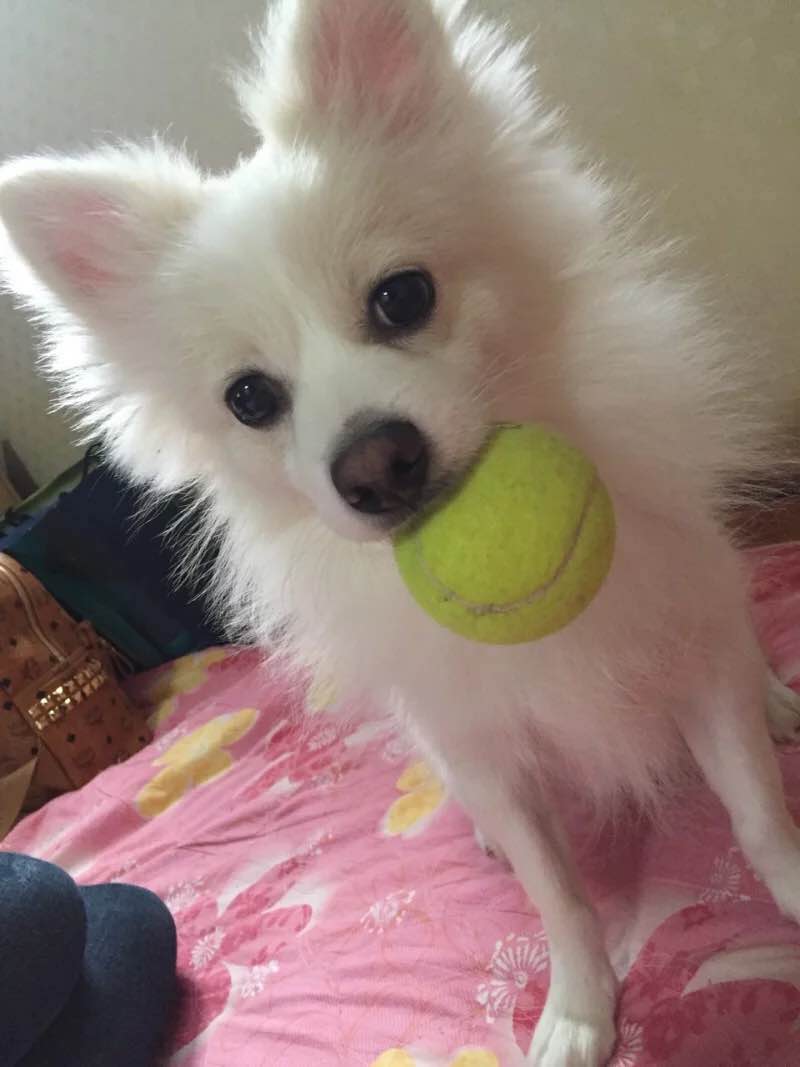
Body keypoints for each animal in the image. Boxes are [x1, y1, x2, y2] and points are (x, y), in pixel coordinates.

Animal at [2, 2, 799, 1062]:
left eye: (403, 295)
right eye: (249, 399)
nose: (374, 463)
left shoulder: (690, 646)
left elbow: (755, 809)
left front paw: (791, 885)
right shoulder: (478, 739)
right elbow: (558, 895)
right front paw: (580, 1006)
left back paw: (777, 698)